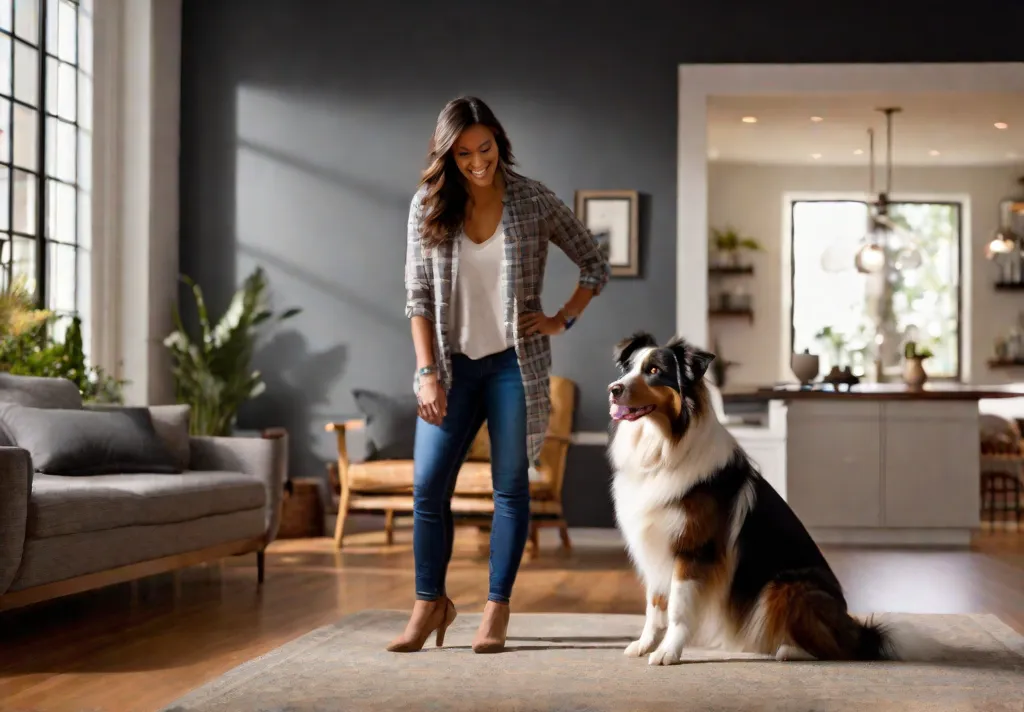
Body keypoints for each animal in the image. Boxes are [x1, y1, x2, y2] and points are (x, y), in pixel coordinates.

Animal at [606, 333, 937, 667]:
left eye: (654, 371)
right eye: (628, 368)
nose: (613, 389)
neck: (661, 447)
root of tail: (859, 632)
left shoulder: (694, 550)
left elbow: (677, 608)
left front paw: (668, 653)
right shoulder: (656, 547)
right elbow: (654, 606)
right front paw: (644, 645)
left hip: (785, 586)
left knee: (839, 650)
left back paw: (790, 650)